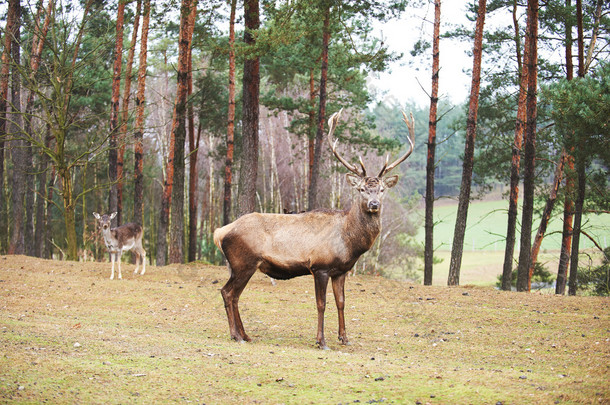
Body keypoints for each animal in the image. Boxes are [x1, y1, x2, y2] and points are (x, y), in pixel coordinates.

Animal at [214, 109, 414, 348]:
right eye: (363, 189)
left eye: (382, 189)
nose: (374, 204)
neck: (349, 242)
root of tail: (220, 232)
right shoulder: (320, 266)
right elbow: (321, 304)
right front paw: (322, 341)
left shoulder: (341, 271)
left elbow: (341, 302)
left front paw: (344, 338)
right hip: (243, 262)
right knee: (228, 292)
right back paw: (236, 335)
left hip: (240, 265)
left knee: (233, 295)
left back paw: (245, 334)